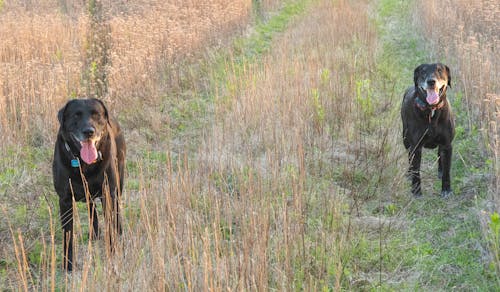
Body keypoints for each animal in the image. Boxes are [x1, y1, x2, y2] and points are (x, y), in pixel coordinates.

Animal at [52, 98, 126, 272]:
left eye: (96, 114)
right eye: (76, 115)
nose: (89, 131)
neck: (84, 164)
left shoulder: (108, 194)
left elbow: (110, 226)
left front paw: (112, 255)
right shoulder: (65, 200)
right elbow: (68, 236)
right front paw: (68, 266)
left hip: (118, 185)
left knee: (116, 212)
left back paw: (118, 232)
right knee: (92, 210)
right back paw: (94, 234)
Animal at [400, 63, 456, 197]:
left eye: (440, 70)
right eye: (423, 72)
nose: (431, 81)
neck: (431, 110)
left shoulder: (447, 145)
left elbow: (447, 170)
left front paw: (446, 189)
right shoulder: (416, 146)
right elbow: (416, 170)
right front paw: (416, 191)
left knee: (440, 154)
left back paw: (440, 170)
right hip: (405, 139)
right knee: (409, 156)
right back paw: (409, 173)